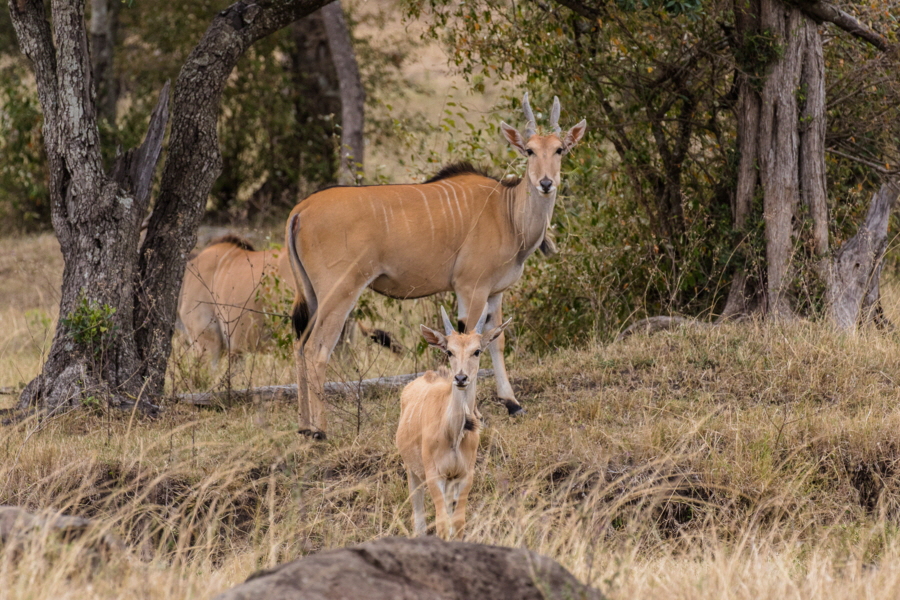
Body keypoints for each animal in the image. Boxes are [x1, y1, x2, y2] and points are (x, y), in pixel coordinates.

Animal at [284, 95, 588, 440]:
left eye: (559, 149)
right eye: (530, 150)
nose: (546, 183)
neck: (507, 211)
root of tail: (301, 209)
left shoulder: (495, 292)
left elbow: (495, 341)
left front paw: (512, 403)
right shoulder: (471, 288)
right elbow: (468, 340)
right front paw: (474, 412)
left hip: (312, 296)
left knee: (299, 346)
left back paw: (303, 426)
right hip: (340, 292)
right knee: (316, 349)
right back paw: (320, 431)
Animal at [396, 308, 510, 536]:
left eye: (477, 351)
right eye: (449, 351)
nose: (460, 378)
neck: (453, 435)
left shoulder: (464, 475)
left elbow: (458, 522)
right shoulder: (434, 474)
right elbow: (442, 523)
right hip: (412, 470)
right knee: (419, 516)